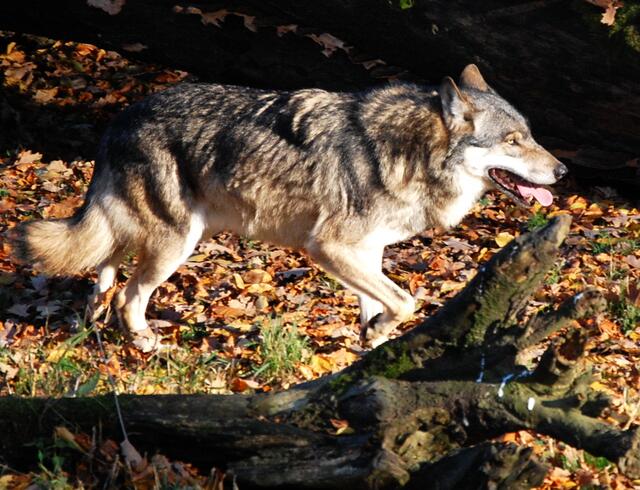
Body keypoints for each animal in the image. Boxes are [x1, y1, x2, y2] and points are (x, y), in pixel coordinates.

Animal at [11, 64, 567, 350]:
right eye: (513, 141)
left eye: (531, 135)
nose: (562, 173)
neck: (407, 153)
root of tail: (122, 115)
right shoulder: (328, 248)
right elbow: (407, 301)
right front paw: (378, 336)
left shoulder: (365, 252)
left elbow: (380, 306)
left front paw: (368, 354)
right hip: (177, 243)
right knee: (129, 295)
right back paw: (144, 343)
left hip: (166, 233)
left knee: (104, 269)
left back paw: (93, 320)